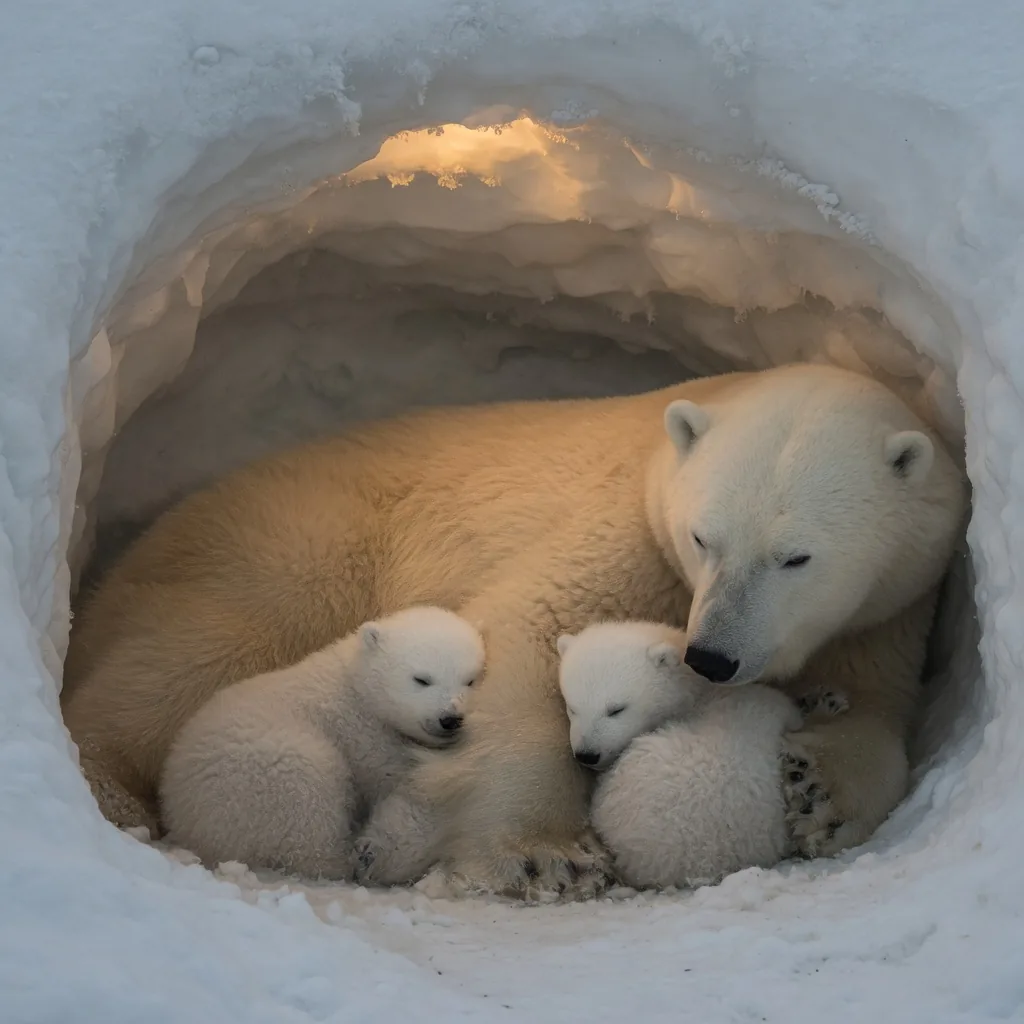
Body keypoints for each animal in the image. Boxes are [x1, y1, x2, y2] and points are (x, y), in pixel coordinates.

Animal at [159, 606, 484, 879]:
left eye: (471, 680)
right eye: (422, 679)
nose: (450, 718)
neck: (355, 683)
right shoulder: (360, 729)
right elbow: (389, 773)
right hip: (267, 773)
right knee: (309, 808)